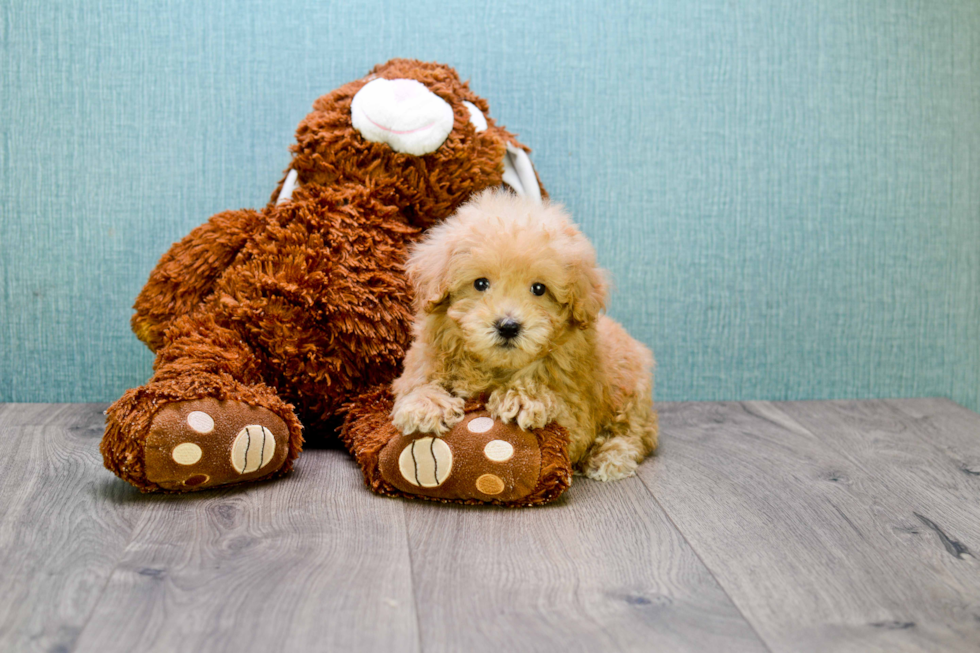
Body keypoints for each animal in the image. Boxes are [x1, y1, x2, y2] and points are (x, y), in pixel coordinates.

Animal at [390, 188, 660, 478]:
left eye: (539, 289)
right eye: (480, 284)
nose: (508, 326)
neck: (493, 368)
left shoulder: (577, 414)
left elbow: (562, 418)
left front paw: (522, 398)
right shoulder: (423, 359)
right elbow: (415, 383)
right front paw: (426, 404)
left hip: (629, 392)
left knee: (638, 433)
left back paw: (611, 455)